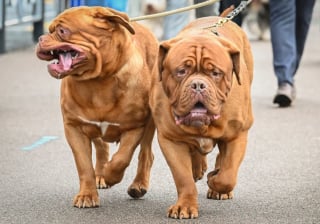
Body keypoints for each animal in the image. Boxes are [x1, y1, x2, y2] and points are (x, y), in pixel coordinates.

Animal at [35, 7, 158, 209]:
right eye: (50, 29)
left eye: (62, 31)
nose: (40, 38)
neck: (99, 79)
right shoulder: (74, 128)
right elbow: (84, 165)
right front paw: (87, 194)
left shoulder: (135, 126)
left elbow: (122, 158)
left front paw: (111, 175)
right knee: (101, 147)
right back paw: (100, 175)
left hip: (149, 124)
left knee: (146, 153)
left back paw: (138, 184)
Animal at [151, 14, 255, 218]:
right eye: (181, 71)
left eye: (215, 73)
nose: (198, 84)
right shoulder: (171, 139)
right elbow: (183, 178)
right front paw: (185, 206)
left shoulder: (238, 135)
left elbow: (227, 175)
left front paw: (215, 181)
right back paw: (198, 167)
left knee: (222, 160)